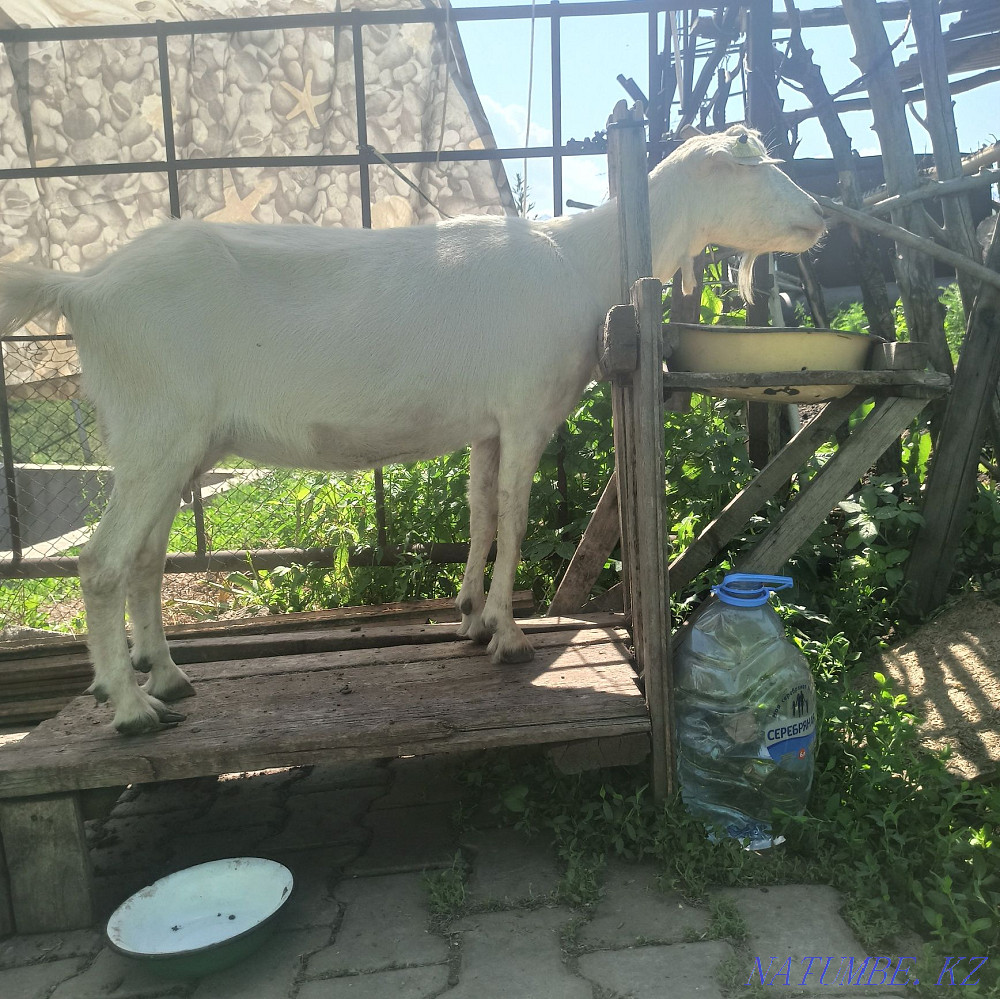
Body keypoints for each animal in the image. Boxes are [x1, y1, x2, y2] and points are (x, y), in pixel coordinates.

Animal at [0, 125, 825, 736]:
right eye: (756, 170)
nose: (821, 217)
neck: (578, 257)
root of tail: (85, 289)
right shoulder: (526, 410)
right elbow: (516, 514)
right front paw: (509, 634)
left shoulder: (489, 423)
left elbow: (482, 510)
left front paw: (468, 616)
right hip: (156, 429)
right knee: (100, 562)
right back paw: (131, 706)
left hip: (173, 446)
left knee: (144, 560)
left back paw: (170, 678)